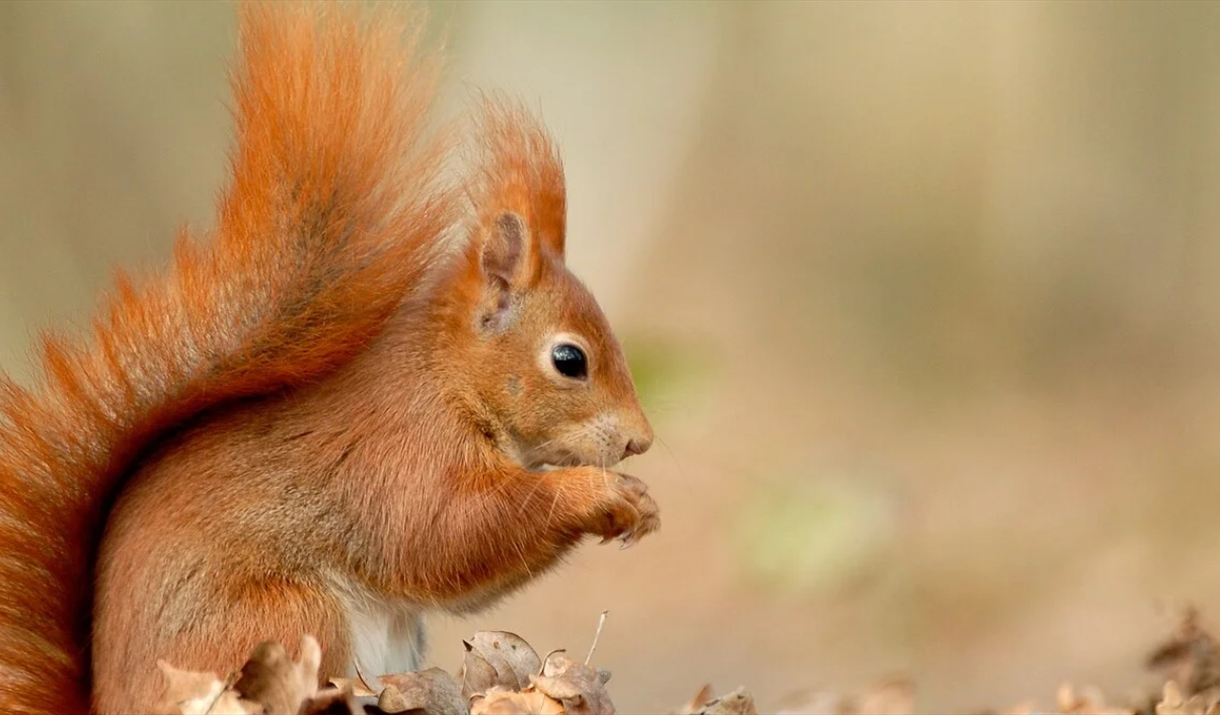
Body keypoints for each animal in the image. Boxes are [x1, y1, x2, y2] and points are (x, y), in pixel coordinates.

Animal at [0, 2, 659, 714]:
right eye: (570, 359)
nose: (641, 442)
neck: (447, 378)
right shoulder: (402, 453)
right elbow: (448, 533)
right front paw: (602, 493)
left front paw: (643, 502)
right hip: (285, 618)